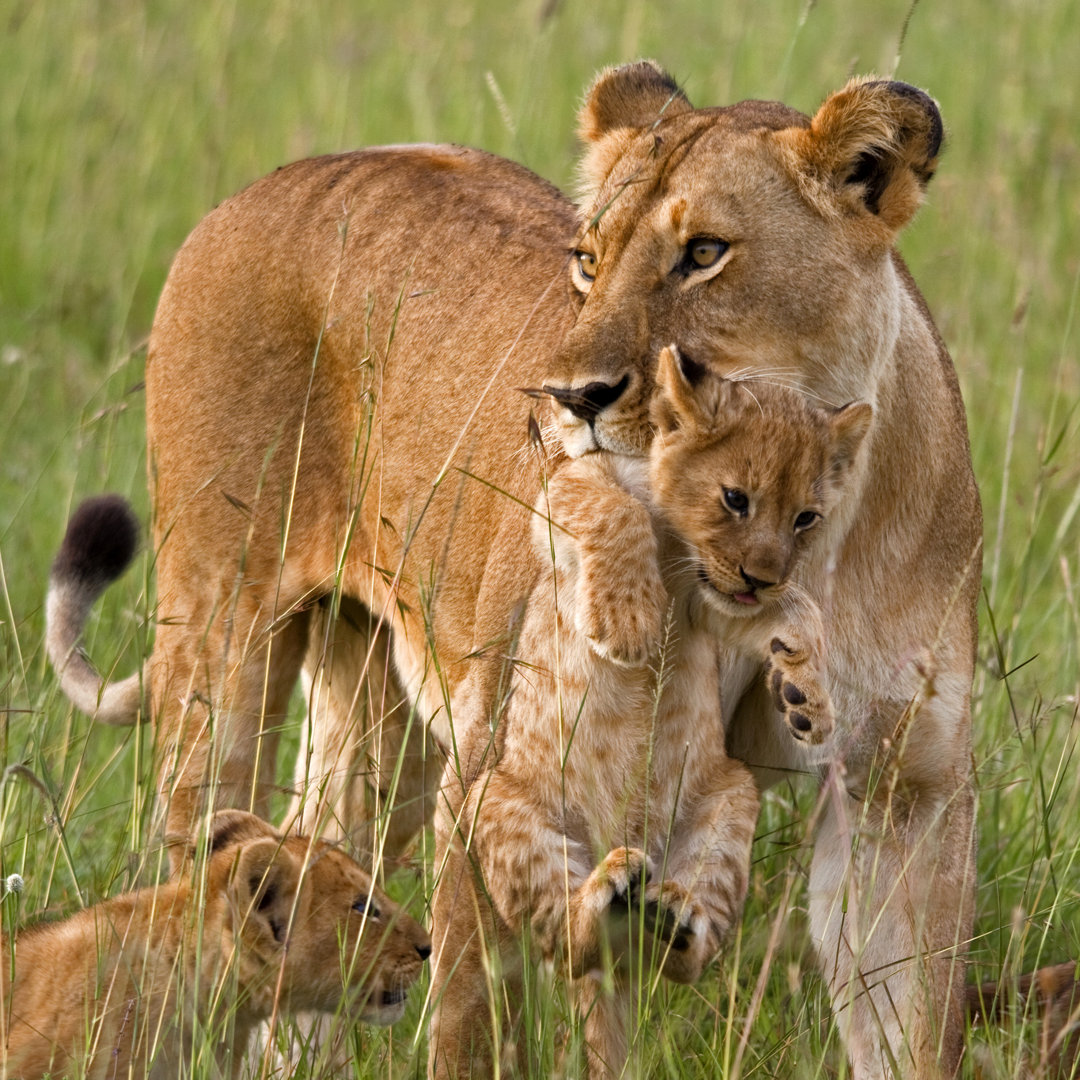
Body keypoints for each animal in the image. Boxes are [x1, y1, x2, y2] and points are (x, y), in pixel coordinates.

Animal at [50, 63, 980, 1075]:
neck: (822, 528)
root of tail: (260, 187)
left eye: (704, 253)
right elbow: (470, 1025)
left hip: (379, 729)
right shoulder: (489, 772)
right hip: (222, 655)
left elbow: (911, 1025)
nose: (569, 398)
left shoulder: (907, 801)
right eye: (586, 260)